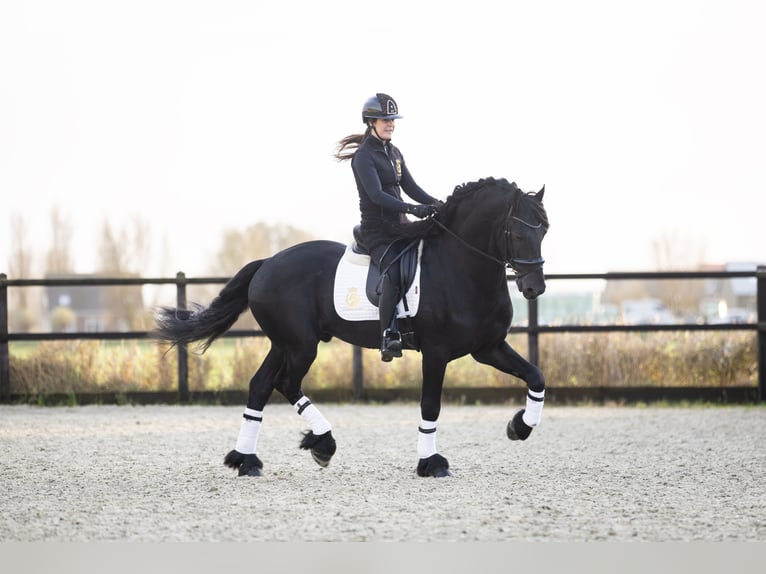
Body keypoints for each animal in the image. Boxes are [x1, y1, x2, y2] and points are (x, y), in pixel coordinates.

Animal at [154, 178, 552, 480]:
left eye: (545, 230)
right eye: (517, 234)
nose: (535, 288)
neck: (462, 267)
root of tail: (267, 263)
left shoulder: (488, 347)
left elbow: (536, 377)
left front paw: (520, 427)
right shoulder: (436, 353)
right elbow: (430, 405)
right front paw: (431, 463)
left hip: (283, 344)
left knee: (260, 386)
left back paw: (246, 460)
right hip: (301, 345)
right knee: (286, 383)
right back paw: (321, 444)